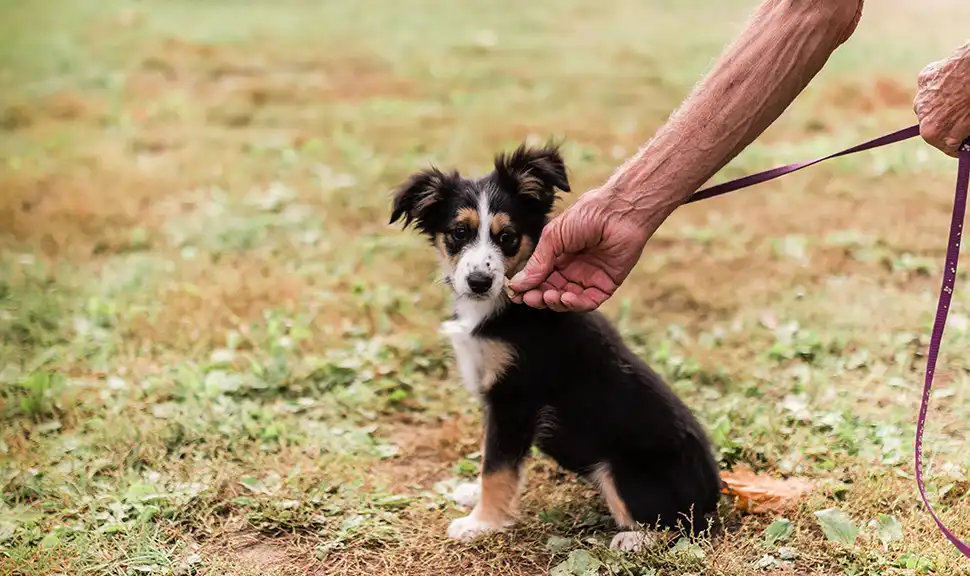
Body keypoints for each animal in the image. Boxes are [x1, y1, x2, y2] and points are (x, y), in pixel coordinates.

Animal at [388, 143, 720, 548]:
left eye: (507, 237)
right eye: (458, 233)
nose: (479, 281)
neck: (501, 309)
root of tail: (715, 495)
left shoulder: (515, 399)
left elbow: (497, 467)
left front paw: (481, 523)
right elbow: (490, 457)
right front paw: (474, 496)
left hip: (622, 470)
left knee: (683, 526)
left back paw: (632, 540)